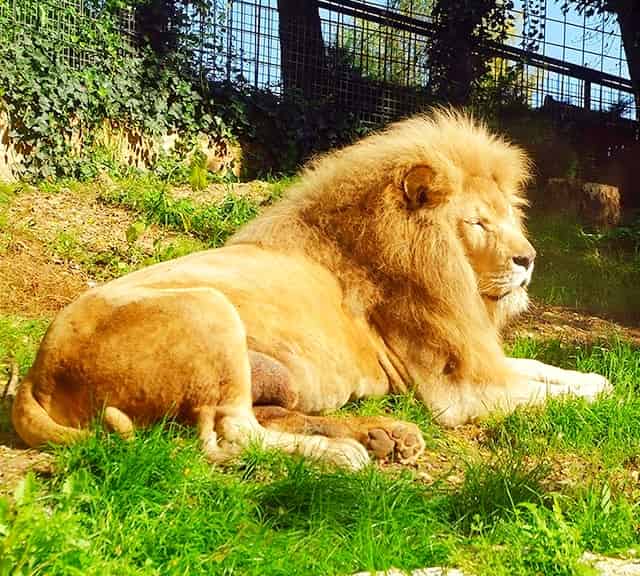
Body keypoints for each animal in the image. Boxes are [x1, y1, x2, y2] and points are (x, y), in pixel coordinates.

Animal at [10, 109, 608, 468]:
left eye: (509, 216)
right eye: (479, 223)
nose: (528, 260)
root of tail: (37, 373)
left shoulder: (479, 359)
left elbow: (549, 371)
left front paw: (598, 379)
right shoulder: (454, 392)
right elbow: (542, 393)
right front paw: (604, 394)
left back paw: (383, 435)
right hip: (210, 310)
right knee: (229, 437)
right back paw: (344, 455)